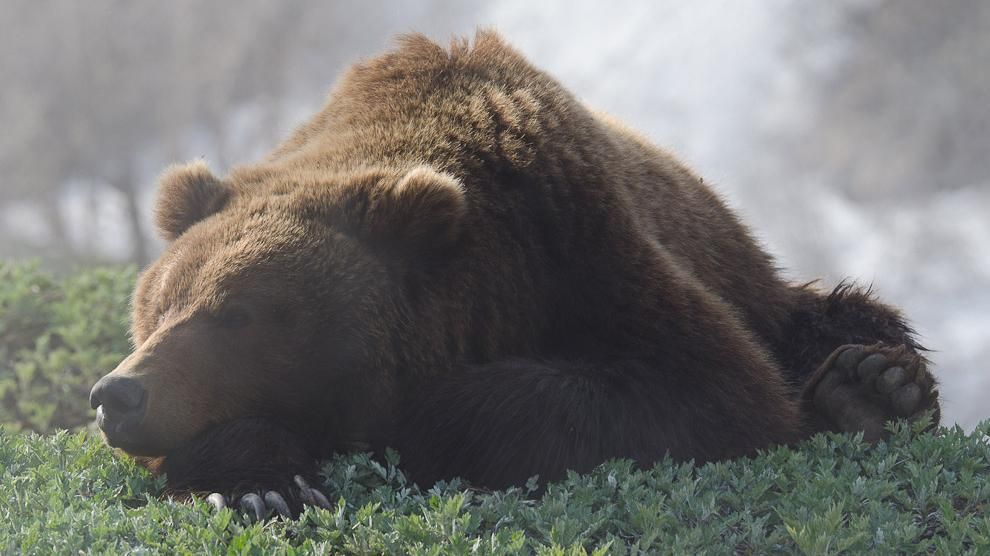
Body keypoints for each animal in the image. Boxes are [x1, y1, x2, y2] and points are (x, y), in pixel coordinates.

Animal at [91, 29, 936, 516]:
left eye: (237, 312)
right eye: (161, 305)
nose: (117, 394)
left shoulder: (584, 250)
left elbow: (709, 392)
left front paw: (415, 421)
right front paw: (264, 483)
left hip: (757, 283)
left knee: (837, 321)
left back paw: (874, 386)